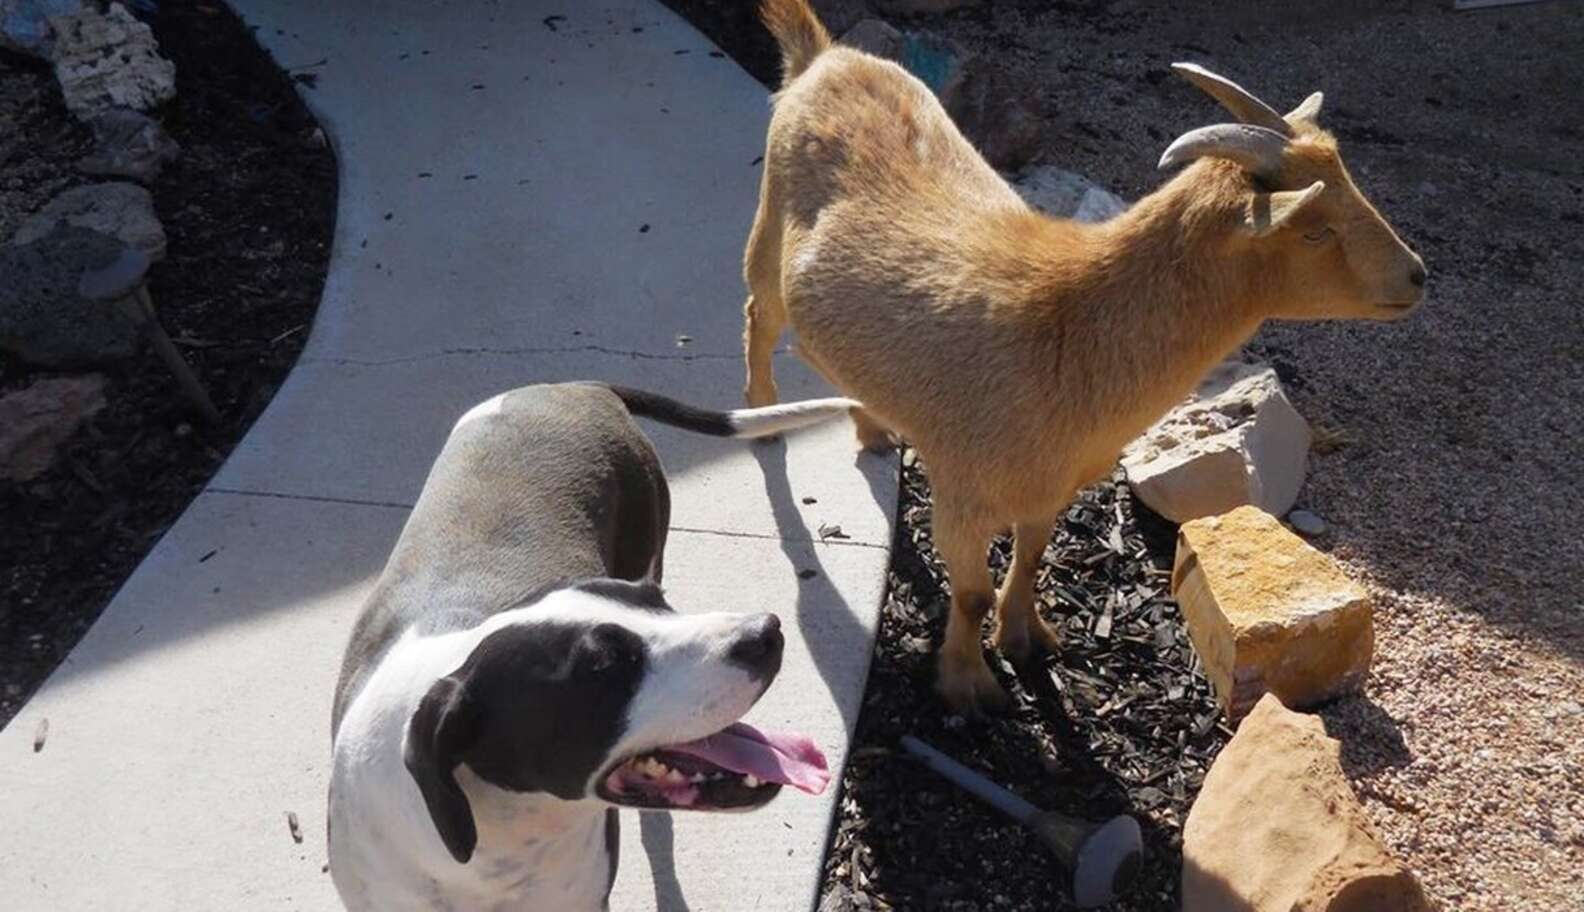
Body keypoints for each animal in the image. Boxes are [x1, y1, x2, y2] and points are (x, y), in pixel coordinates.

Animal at [747, 0, 1431, 712]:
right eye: (1315, 231)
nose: (1417, 277)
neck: (1067, 325)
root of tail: (823, 55)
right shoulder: (962, 489)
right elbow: (971, 592)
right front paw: (968, 686)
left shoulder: (1050, 488)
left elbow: (1030, 559)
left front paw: (1029, 640)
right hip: (767, 229)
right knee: (759, 317)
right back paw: (763, 417)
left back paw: (874, 428)